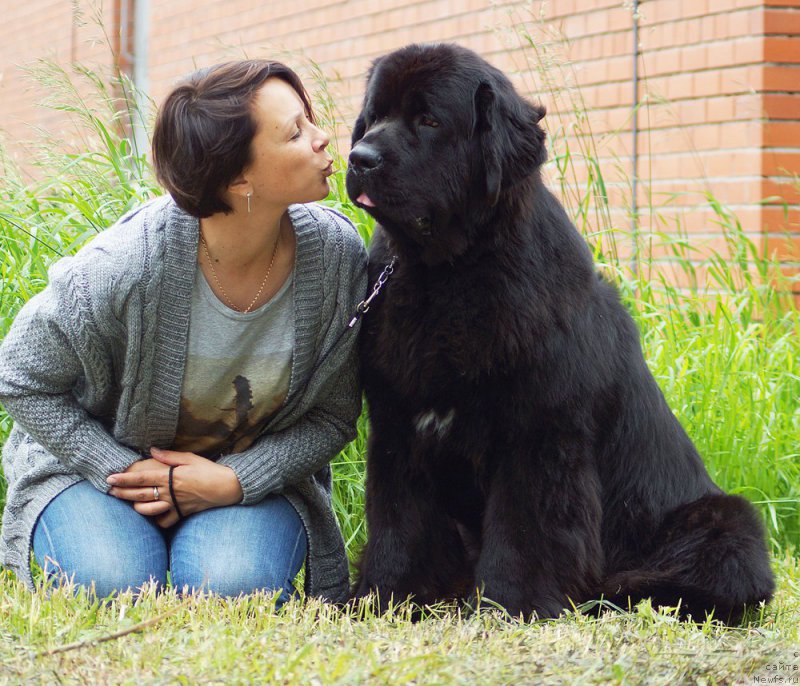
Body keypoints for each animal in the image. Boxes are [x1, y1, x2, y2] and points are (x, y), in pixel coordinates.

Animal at [346, 43, 776, 624]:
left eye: (429, 121)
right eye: (374, 118)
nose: (360, 158)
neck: (446, 276)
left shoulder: (539, 432)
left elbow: (525, 530)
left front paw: (510, 605)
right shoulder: (398, 428)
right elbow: (400, 523)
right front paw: (385, 597)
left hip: (727, 524)